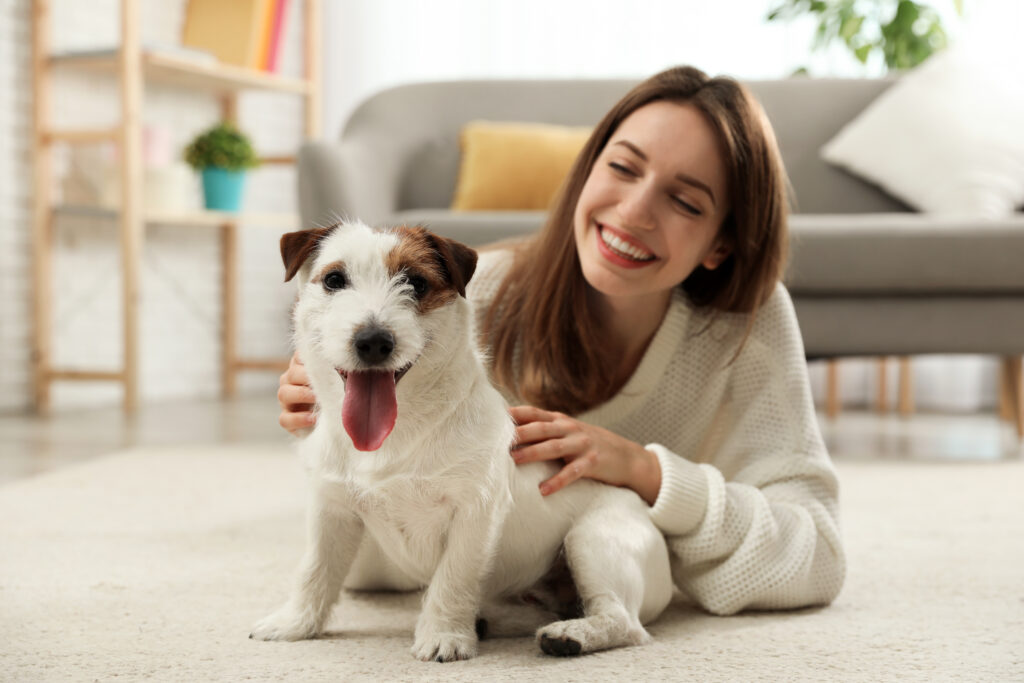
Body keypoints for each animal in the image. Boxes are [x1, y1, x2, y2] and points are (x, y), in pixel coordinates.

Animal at [249, 223, 671, 663]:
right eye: (334, 279)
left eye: (416, 283)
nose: (373, 341)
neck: (400, 430)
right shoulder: (332, 510)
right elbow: (315, 569)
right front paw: (295, 623)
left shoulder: (475, 512)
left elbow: (454, 578)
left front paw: (443, 635)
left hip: (593, 540)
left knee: (625, 622)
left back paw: (570, 635)